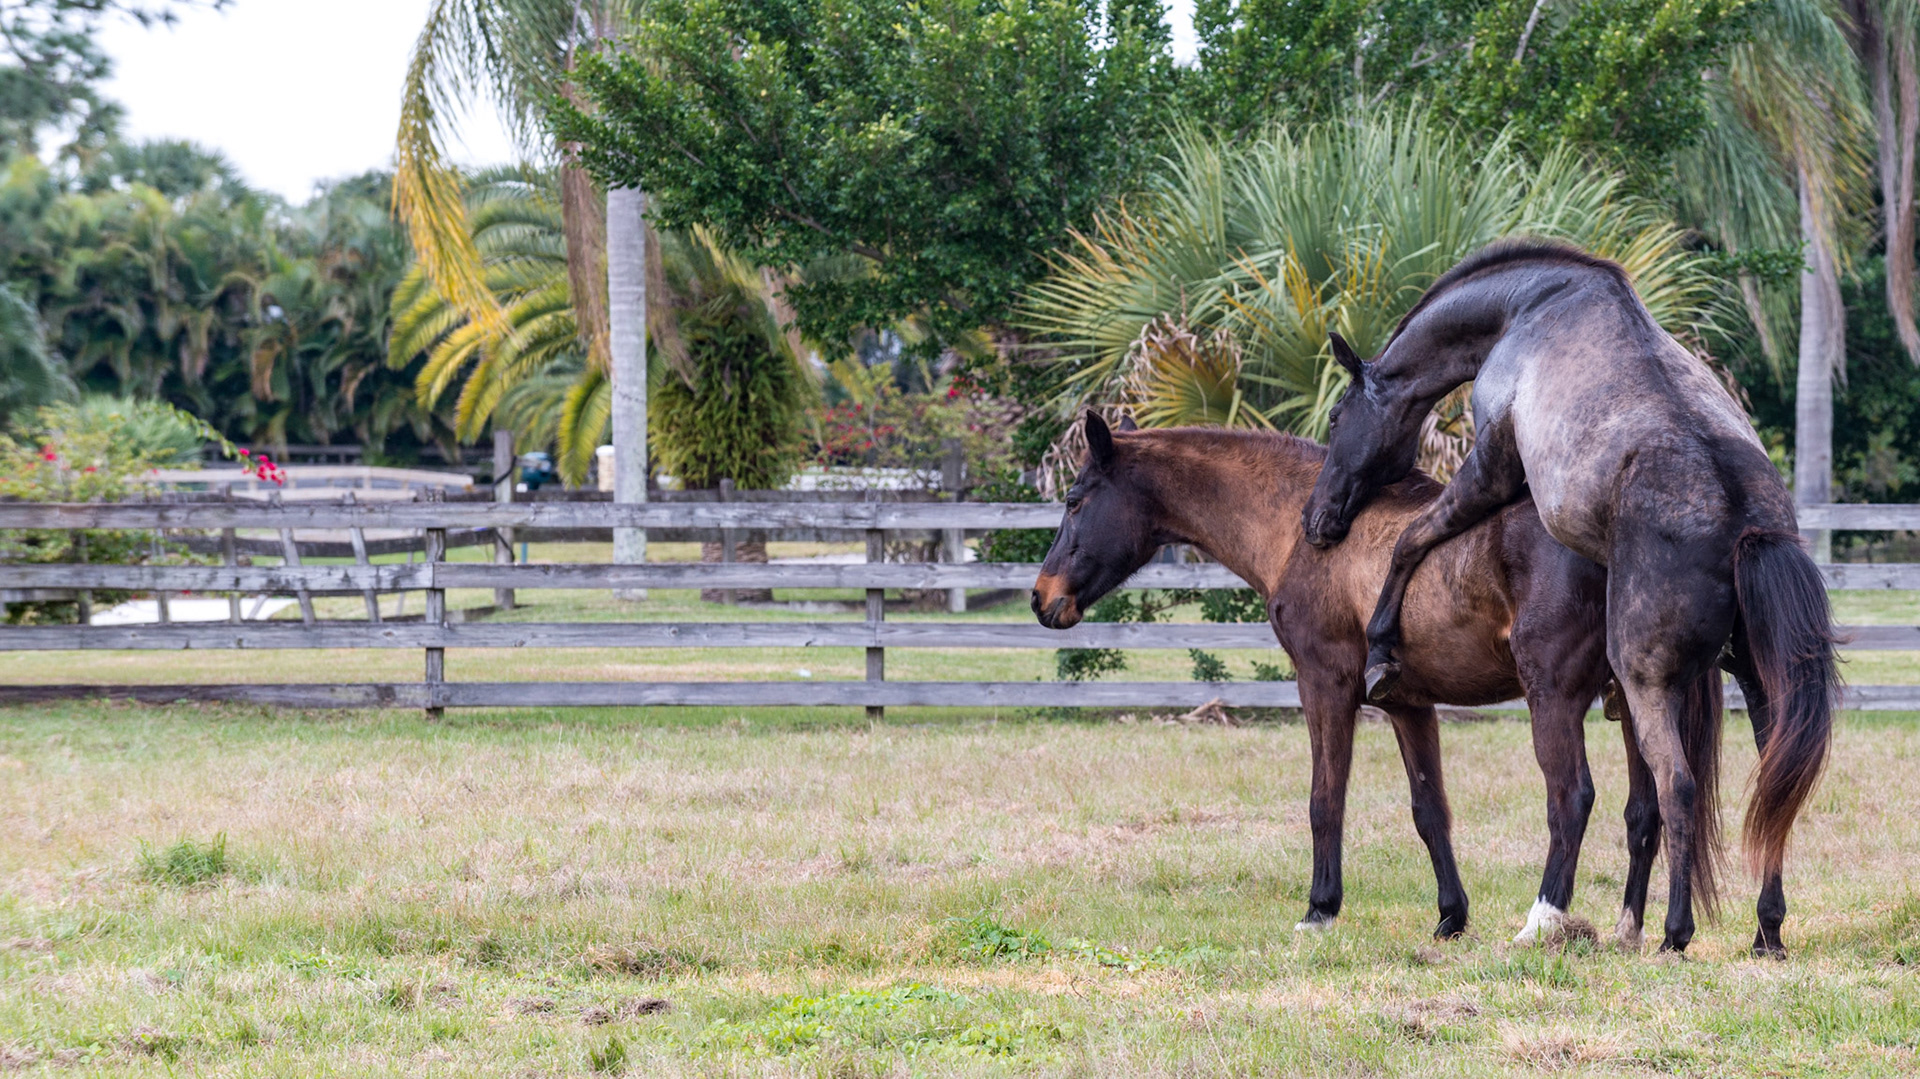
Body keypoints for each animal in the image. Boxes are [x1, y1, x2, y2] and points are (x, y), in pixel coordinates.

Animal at [1031, 412, 1667, 944]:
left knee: (1572, 797)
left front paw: (1320, 909)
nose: (1042, 598)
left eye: (1074, 500)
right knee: (1648, 806)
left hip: (1553, 698)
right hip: (1636, 701)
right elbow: (1429, 810)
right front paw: (1451, 917)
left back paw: (1543, 922)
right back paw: (1633, 931)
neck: (1302, 532)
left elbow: (1325, 800)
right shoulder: (1409, 706)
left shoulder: (1324, 686)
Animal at [1300, 240, 1839, 956]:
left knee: (1676, 785)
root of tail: (1749, 526)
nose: (1317, 519)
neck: (1530, 306)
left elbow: (1414, 539)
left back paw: (1673, 933)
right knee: (1774, 788)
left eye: (1338, 418)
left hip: (1648, 681)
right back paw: (1766, 931)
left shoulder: (1491, 465)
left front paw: (1384, 644)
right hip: (1755, 680)